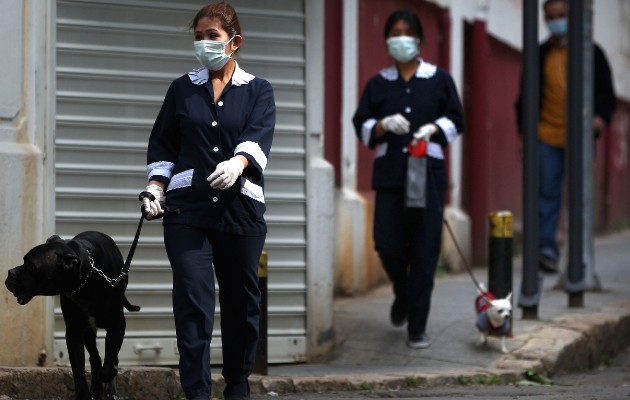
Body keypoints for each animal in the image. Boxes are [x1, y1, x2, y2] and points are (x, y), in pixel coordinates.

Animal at [5, 231, 141, 400]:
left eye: (31, 265)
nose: (10, 272)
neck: (87, 281)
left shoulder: (117, 327)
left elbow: (109, 365)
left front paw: (110, 376)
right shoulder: (74, 332)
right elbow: (78, 370)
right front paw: (85, 394)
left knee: (108, 359)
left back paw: (110, 390)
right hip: (88, 333)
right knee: (95, 357)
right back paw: (96, 389)